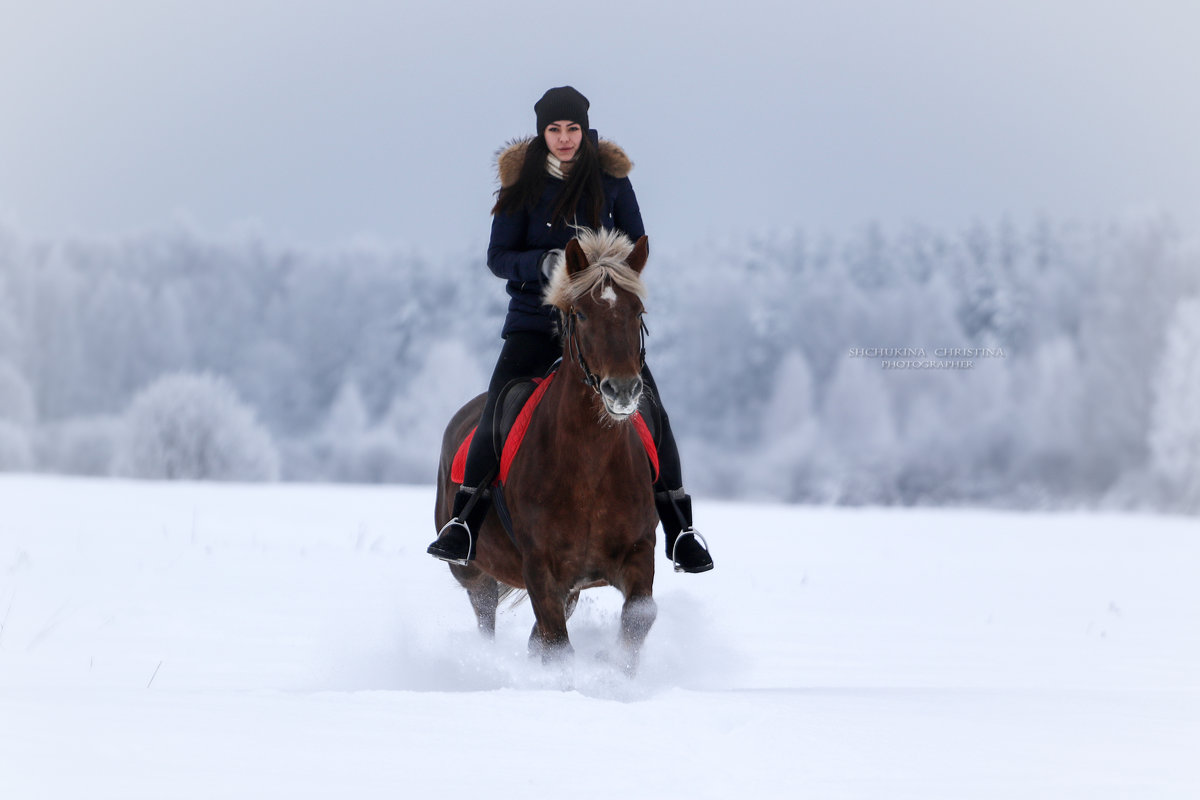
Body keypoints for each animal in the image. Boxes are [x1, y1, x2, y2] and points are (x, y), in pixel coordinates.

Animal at [432, 227, 657, 671]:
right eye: (581, 313)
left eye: (638, 311)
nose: (622, 390)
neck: (589, 464)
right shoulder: (540, 569)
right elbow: (556, 645)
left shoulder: (638, 554)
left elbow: (638, 621)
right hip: (473, 574)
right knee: (486, 614)